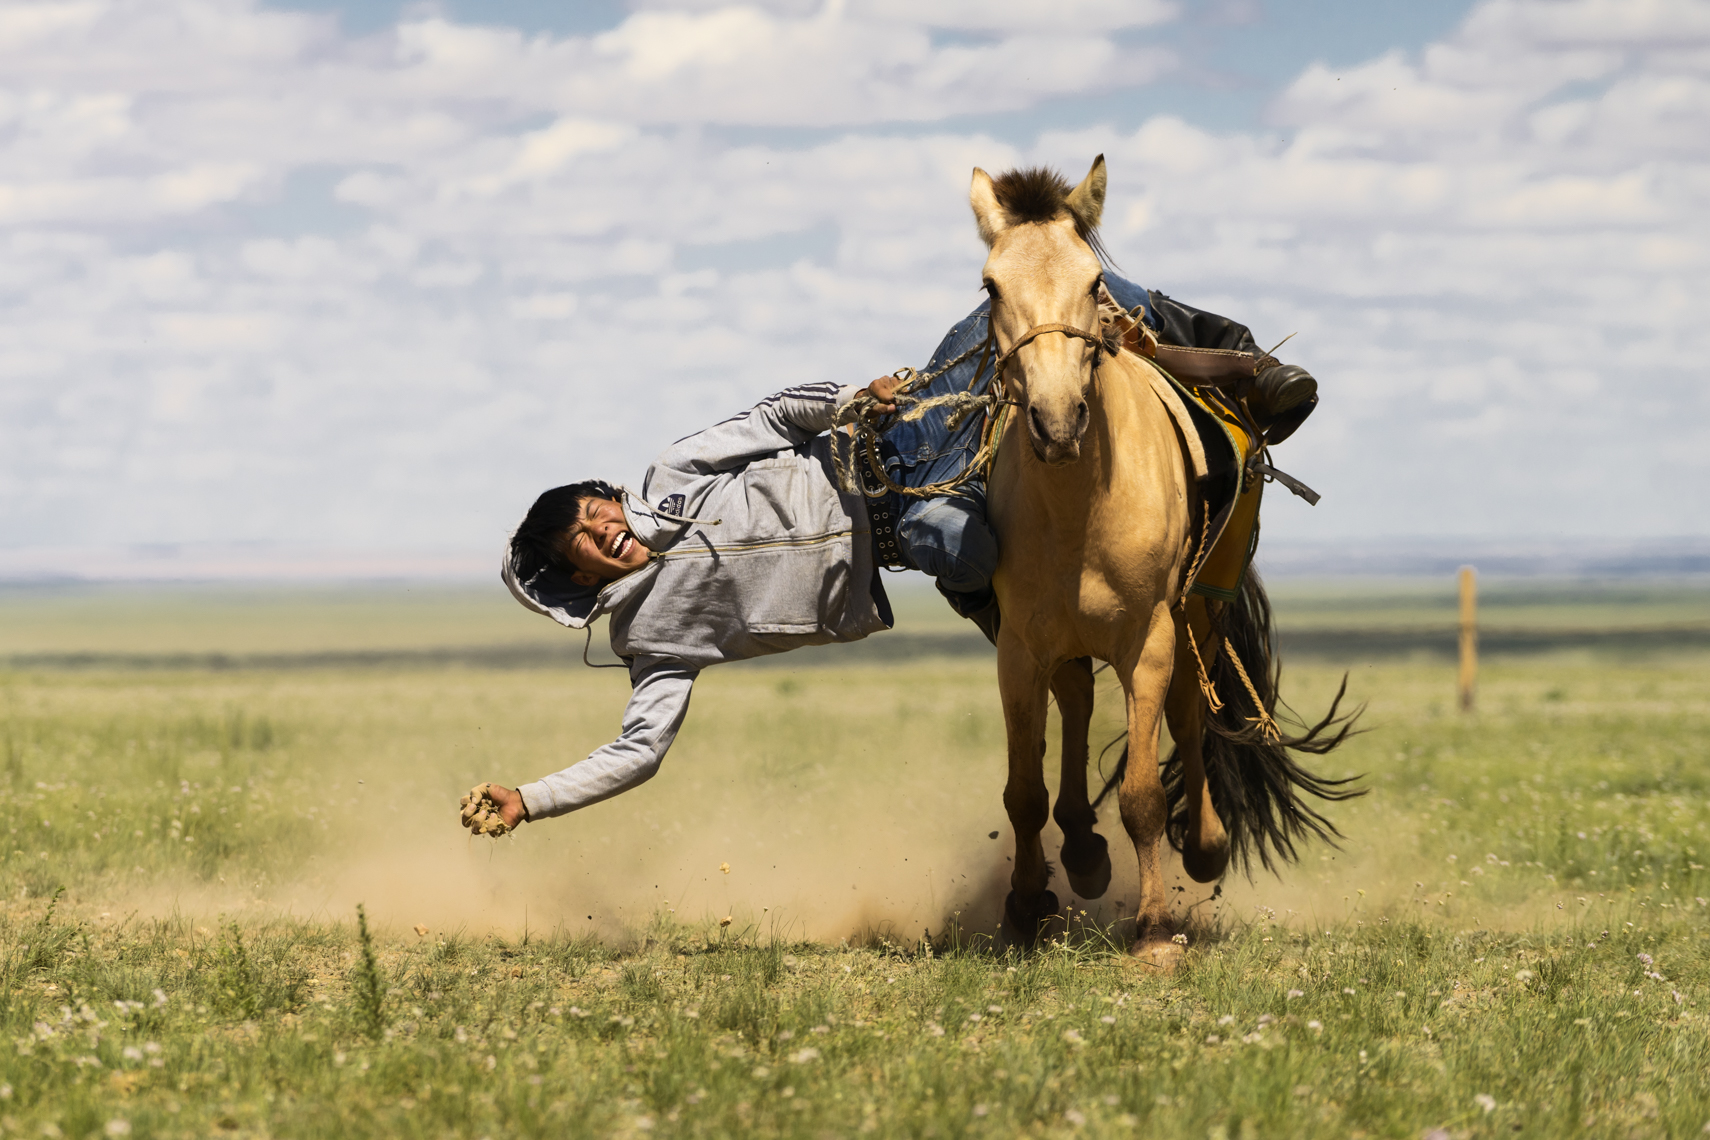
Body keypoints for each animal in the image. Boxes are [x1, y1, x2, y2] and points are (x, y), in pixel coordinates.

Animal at [978, 156, 1361, 970]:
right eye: (990, 286)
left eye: (1094, 280)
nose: (1057, 421)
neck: (1079, 505)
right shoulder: (1019, 649)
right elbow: (1023, 791)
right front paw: (1024, 908)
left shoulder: (1148, 639)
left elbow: (1145, 794)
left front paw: (1154, 930)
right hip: (1073, 642)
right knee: (1078, 704)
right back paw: (1083, 853)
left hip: (1198, 621)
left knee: (1189, 716)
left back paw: (1204, 847)